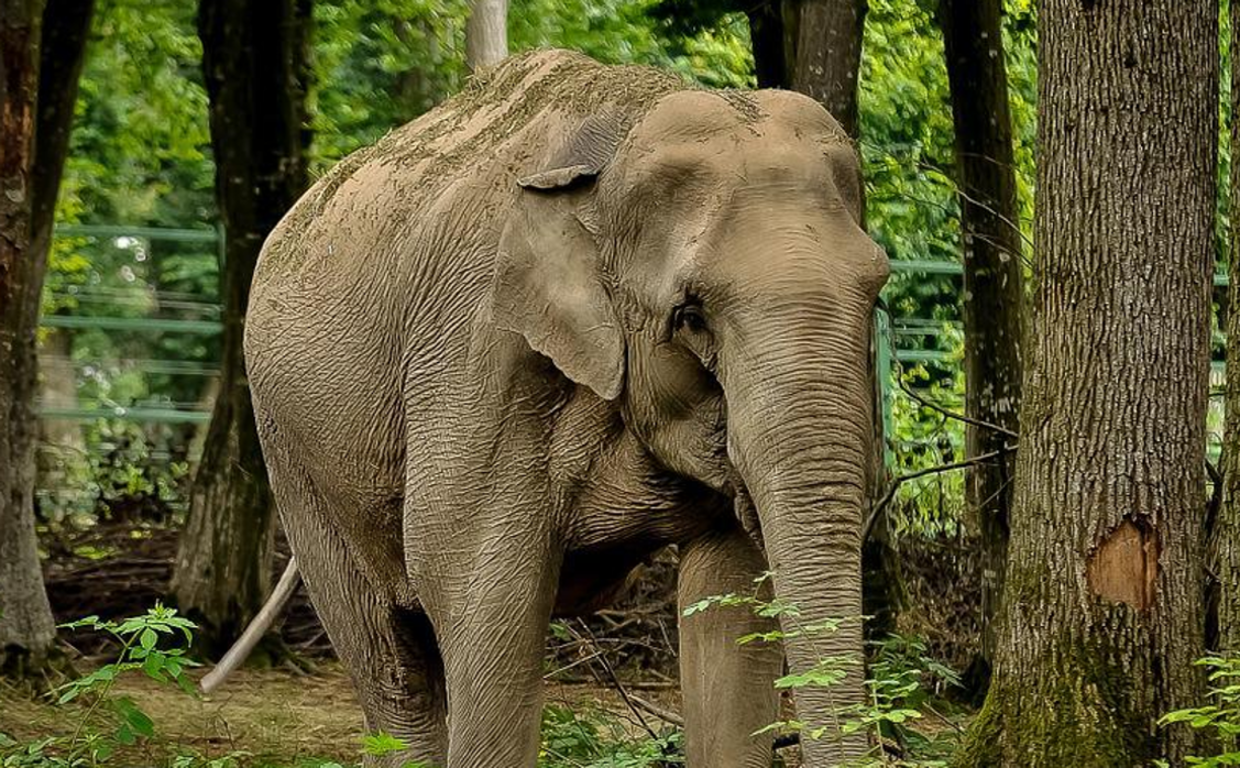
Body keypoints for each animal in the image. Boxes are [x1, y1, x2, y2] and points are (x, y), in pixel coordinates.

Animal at [240, 49, 888, 768]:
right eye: (690, 315)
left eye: (876, 292)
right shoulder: (479, 354)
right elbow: (477, 590)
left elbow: (732, 603)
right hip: (292, 454)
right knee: (392, 665)